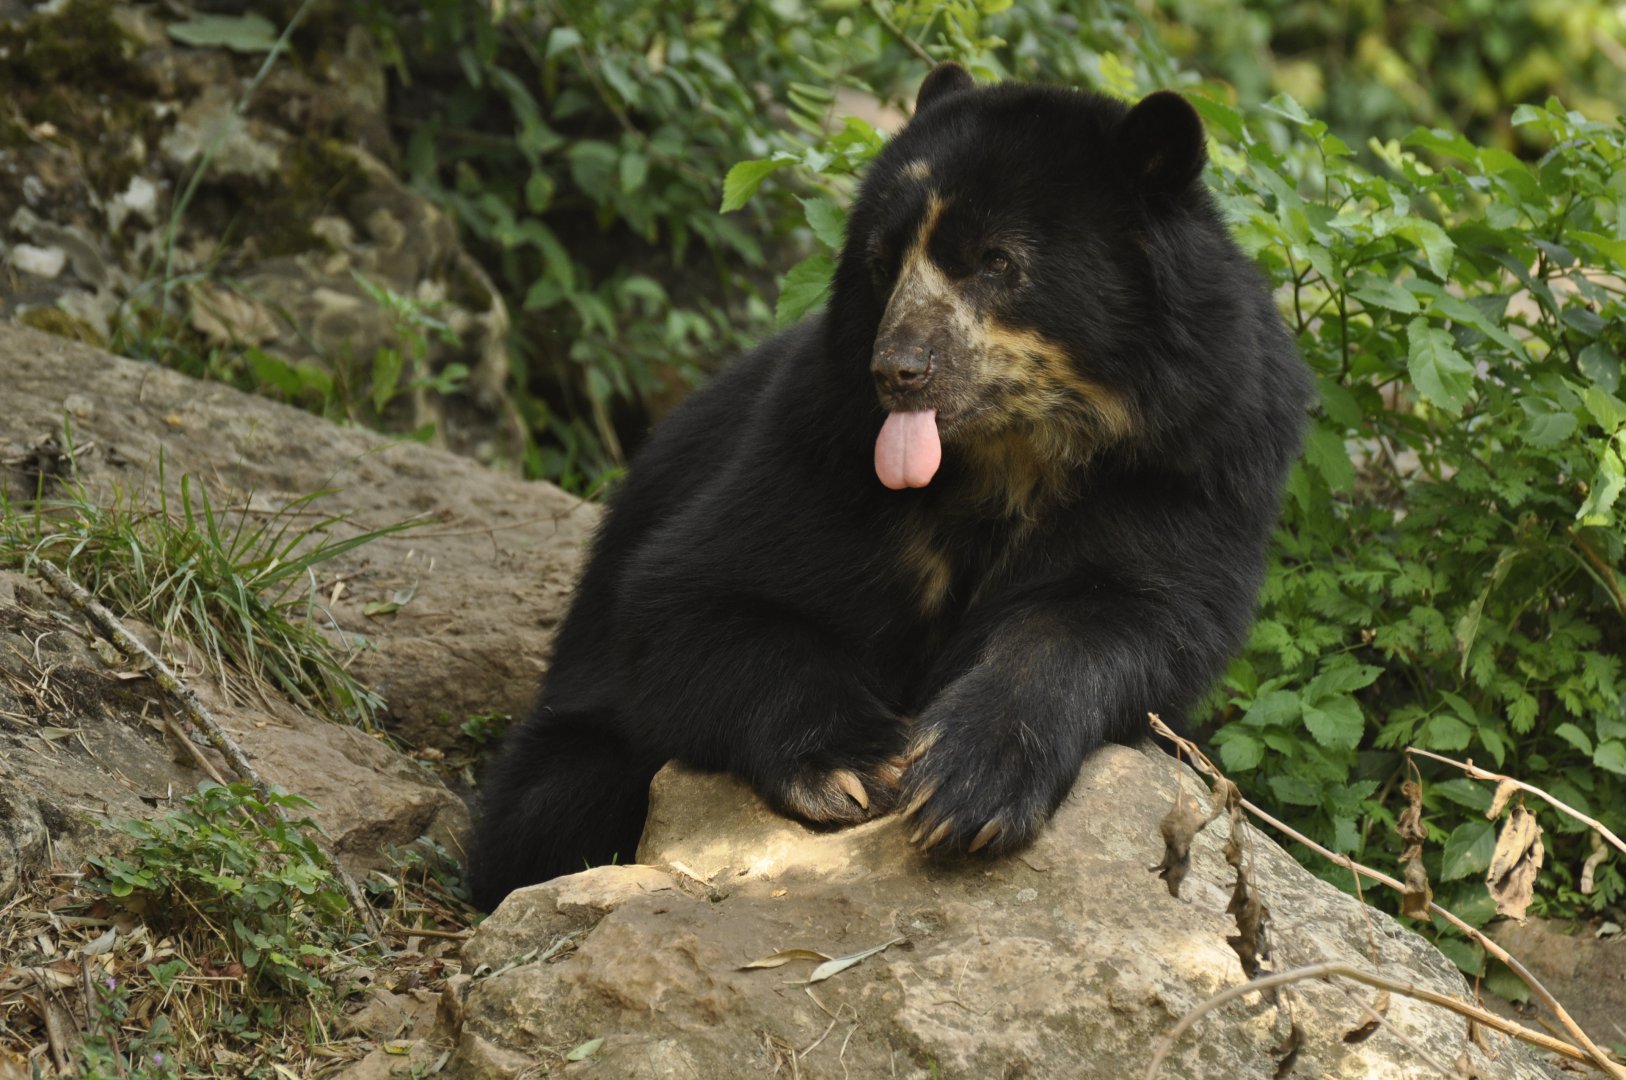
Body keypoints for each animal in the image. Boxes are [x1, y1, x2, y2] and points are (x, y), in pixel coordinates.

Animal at [469, 62, 1313, 911]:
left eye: (997, 261)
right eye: (882, 262)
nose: (898, 371)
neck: (1011, 452)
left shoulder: (1192, 465)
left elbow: (1127, 615)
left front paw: (968, 787)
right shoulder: (821, 443)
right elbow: (691, 595)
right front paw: (857, 764)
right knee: (557, 798)